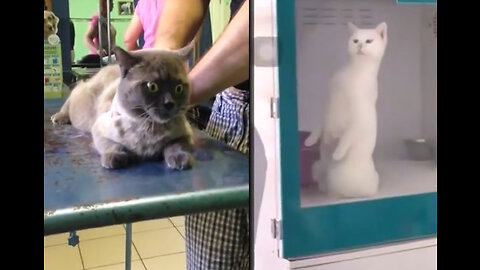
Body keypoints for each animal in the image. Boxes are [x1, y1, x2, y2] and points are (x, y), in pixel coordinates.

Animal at [51, 45, 195, 170]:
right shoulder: (98, 130)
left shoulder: (185, 134)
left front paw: (180, 159)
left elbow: (177, 145)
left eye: (178, 88)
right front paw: (115, 158)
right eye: (152, 86)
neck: (149, 128)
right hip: (81, 98)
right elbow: (113, 145)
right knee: (71, 97)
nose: (169, 103)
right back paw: (59, 117)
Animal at [306, 22, 388, 197]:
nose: (360, 45)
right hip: (317, 167)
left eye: (369, 41)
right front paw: (310, 140)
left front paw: (337, 153)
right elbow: (320, 124)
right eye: (355, 40)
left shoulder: (360, 116)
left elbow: (347, 136)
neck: (355, 73)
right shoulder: (328, 103)